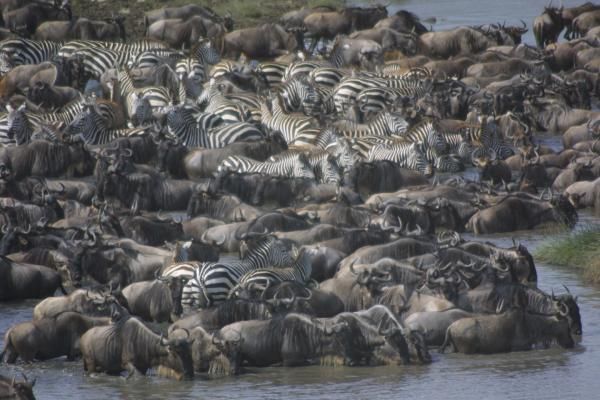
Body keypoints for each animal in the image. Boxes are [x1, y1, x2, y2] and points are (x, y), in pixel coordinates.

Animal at [164, 233, 296, 308]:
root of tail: (200, 275)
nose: (293, 261)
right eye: (284, 250)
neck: (252, 264)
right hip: (218, 294)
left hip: (191, 299)